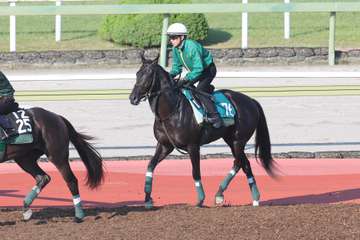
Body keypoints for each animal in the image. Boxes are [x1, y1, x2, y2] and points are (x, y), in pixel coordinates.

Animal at [131, 54, 274, 208]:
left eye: (148, 74)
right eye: (137, 73)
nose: (132, 98)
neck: (171, 111)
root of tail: (252, 101)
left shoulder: (193, 146)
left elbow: (195, 172)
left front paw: (200, 199)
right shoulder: (165, 145)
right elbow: (150, 166)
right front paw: (147, 199)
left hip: (238, 140)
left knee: (242, 163)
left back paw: (254, 198)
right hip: (231, 140)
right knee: (241, 163)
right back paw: (223, 194)